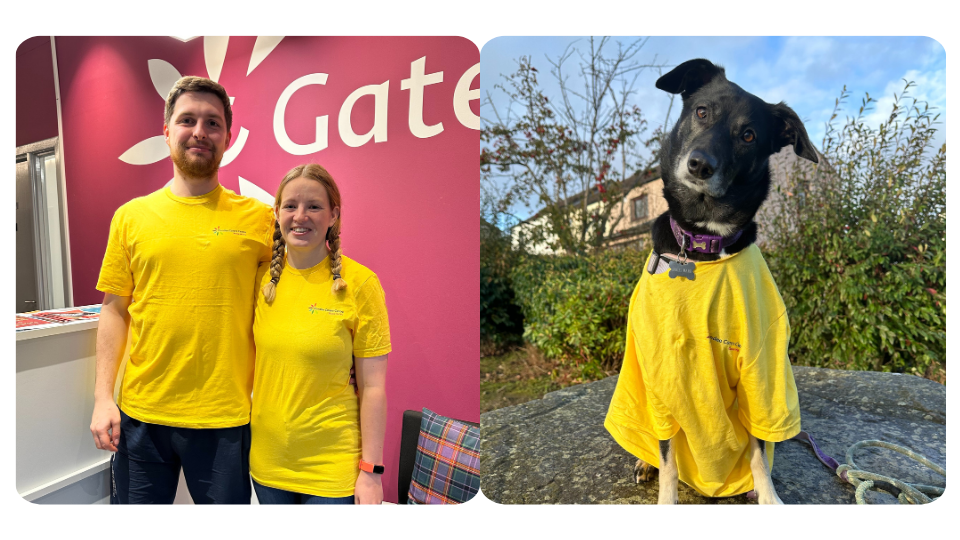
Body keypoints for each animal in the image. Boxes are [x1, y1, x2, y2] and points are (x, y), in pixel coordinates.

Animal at [608, 59, 816, 502]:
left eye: (748, 135)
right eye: (702, 111)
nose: (700, 165)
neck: (703, 242)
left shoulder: (761, 372)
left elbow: (759, 452)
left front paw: (767, 496)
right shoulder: (661, 374)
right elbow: (668, 459)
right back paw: (643, 462)